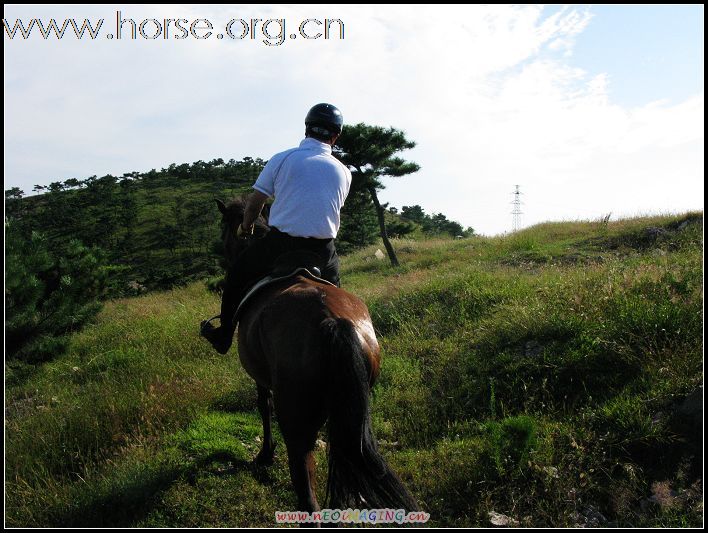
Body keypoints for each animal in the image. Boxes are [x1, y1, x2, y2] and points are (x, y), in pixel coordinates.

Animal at [213, 198, 418, 516]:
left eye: (225, 228)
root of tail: (331, 320)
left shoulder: (260, 377)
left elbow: (263, 406)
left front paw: (265, 454)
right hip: (352, 411)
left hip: (297, 423)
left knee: (307, 495)